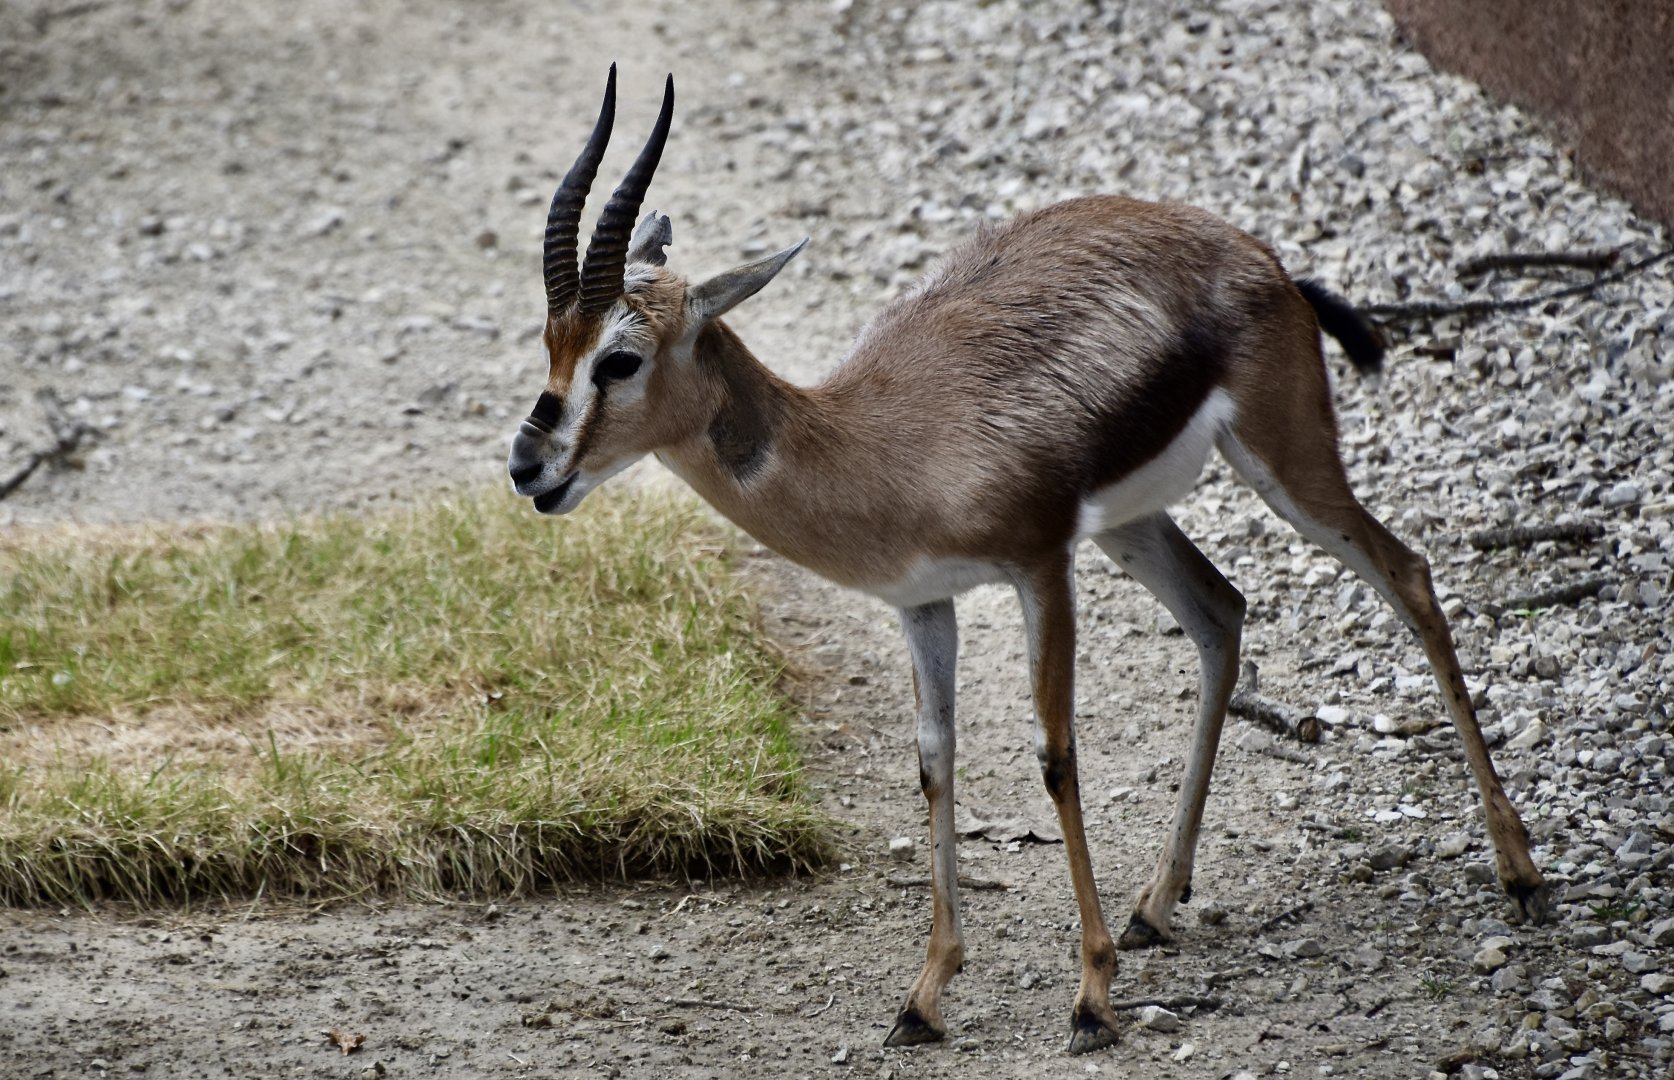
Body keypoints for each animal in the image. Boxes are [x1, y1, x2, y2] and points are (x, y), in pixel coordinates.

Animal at [508, 68, 1550, 1053]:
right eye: (551, 341)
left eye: (620, 359)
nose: (529, 467)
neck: (877, 444)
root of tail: (1261, 257)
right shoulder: (922, 604)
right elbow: (935, 761)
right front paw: (924, 999)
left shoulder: (1040, 567)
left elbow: (1055, 755)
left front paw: (1090, 1001)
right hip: (1133, 524)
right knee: (1222, 611)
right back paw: (1153, 907)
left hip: (1284, 465)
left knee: (1408, 575)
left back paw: (1521, 874)